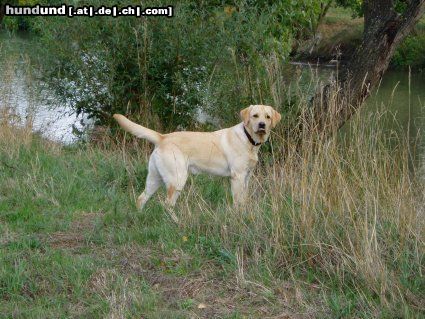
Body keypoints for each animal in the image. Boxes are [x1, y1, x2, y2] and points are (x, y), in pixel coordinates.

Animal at [112, 105, 280, 210]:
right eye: (255, 116)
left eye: (267, 117)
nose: (262, 125)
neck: (249, 139)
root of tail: (163, 137)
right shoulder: (237, 177)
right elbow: (238, 202)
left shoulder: (246, 177)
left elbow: (243, 200)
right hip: (177, 179)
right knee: (167, 204)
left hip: (154, 179)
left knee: (141, 199)